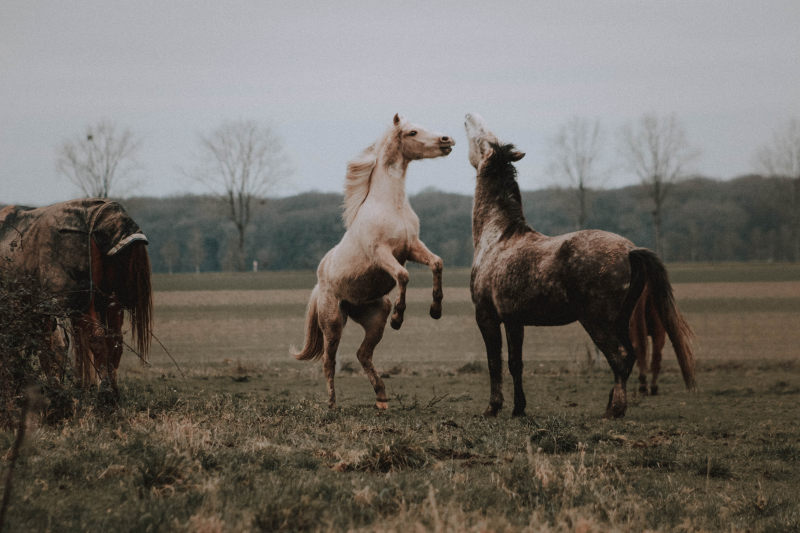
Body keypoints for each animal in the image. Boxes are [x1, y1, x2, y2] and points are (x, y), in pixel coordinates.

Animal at [0, 197, 152, 392]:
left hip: (84, 305)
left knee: (97, 338)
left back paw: (105, 392)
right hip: (111, 302)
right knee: (114, 340)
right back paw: (111, 390)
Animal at [296, 114, 456, 410]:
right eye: (412, 132)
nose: (446, 140)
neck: (390, 206)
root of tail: (320, 283)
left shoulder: (413, 247)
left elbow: (437, 263)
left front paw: (436, 310)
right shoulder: (382, 254)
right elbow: (403, 276)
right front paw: (399, 318)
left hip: (374, 317)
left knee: (363, 354)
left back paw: (382, 398)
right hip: (333, 322)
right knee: (329, 360)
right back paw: (332, 403)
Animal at [466, 114, 696, 418]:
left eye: (481, 138)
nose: (468, 117)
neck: (498, 236)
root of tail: (630, 250)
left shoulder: (487, 317)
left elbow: (495, 363)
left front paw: (493, 408)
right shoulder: (515, 320)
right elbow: (516, 364)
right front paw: (518, 409)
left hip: (597, 321)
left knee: (620, 358)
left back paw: (615, 410)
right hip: (620, 320)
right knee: (630, 356)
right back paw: (611, 404)